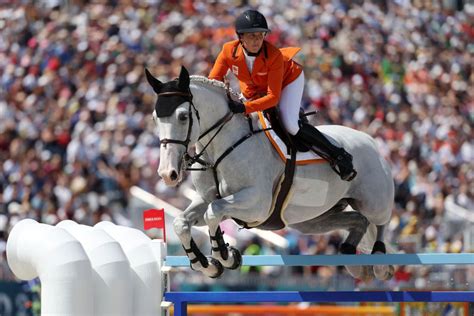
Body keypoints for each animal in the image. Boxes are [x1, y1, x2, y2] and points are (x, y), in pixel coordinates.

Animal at [146, 66, 394, 282]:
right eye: (155, 118)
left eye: (182, 116)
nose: (167, 174)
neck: (220, 149)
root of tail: (371, 140)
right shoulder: (205, 198)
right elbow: (181, 222)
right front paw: (208, 265)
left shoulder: (257, 203)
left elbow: (213, 213)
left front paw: (226, 256)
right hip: (312, 219)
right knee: (359, 221)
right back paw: (354, 262)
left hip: (372, 201)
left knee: (380, 222)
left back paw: (381, 263)